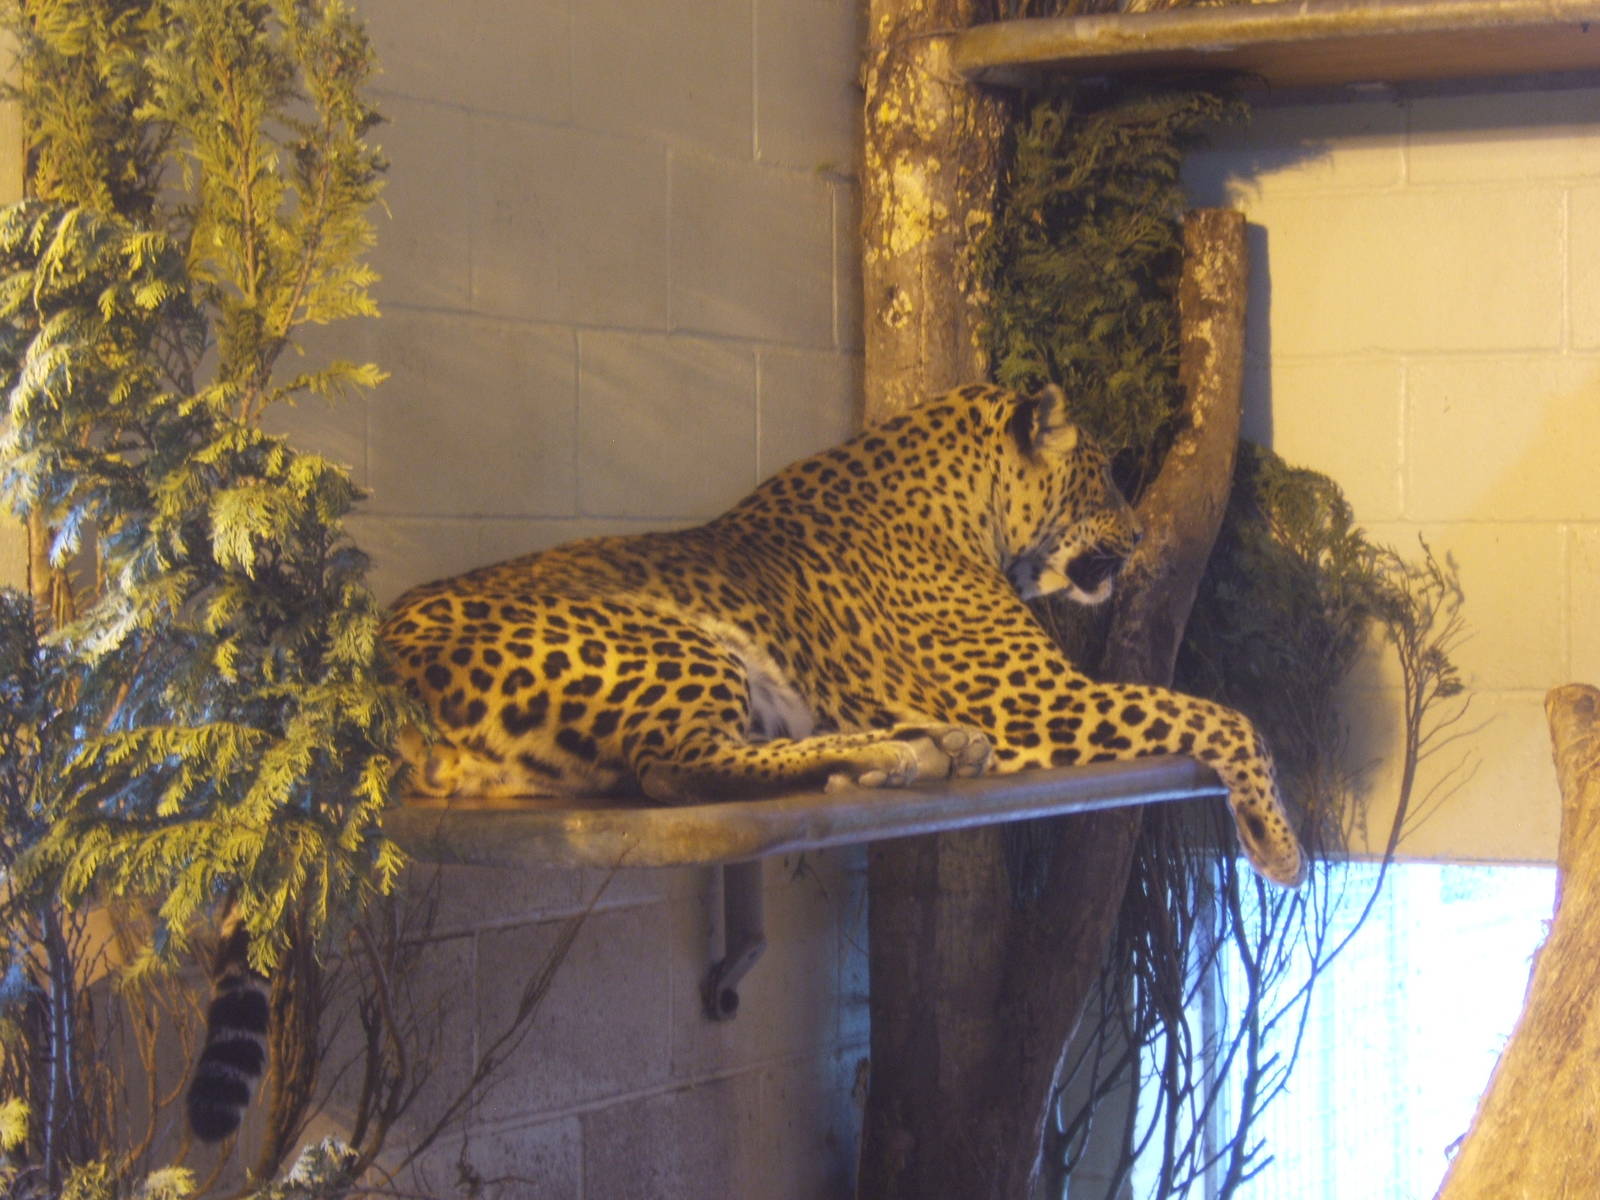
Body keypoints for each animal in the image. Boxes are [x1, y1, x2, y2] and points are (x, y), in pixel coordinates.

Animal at [380, 382, 1306, 889]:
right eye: (1104, 476)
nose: (1143, 536)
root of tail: (382, 672)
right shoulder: (1041, 705)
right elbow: (1229, 718)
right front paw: (1278, 843)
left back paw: (927, 748)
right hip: (672, 638)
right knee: (673, 769)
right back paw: (908, 753)